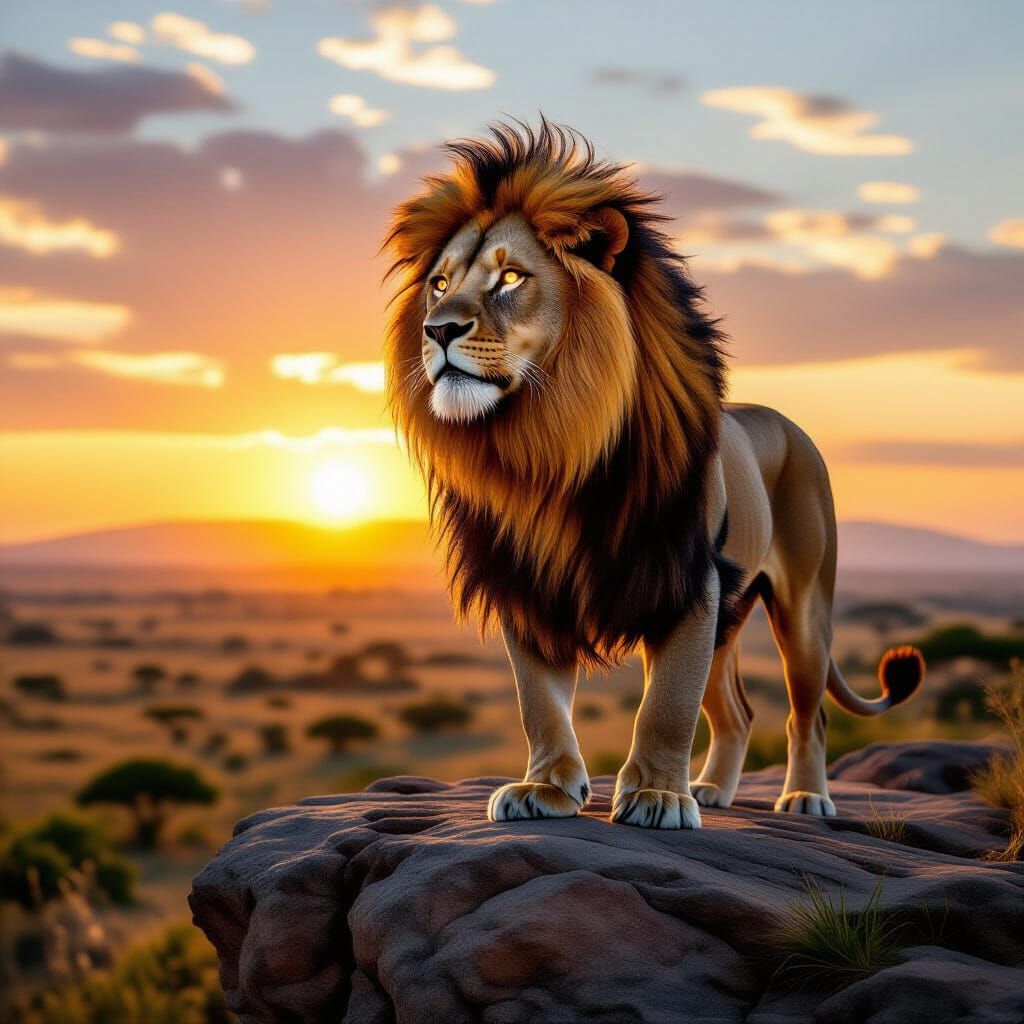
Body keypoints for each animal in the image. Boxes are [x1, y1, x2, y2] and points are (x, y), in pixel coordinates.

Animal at [383, 120, 924, 829]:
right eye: (440, 285)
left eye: (510, 278)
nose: (437, 329)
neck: (551, 447)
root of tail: (786, 422)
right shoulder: (527, 581)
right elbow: (539, 702)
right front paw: (546, 788)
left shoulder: (689, 578)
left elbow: (667, 703)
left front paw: (656, 797)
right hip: (731, 615)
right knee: (738, 711)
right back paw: (714, 789)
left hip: (802, 609)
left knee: (808, 715)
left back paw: (805, 798)